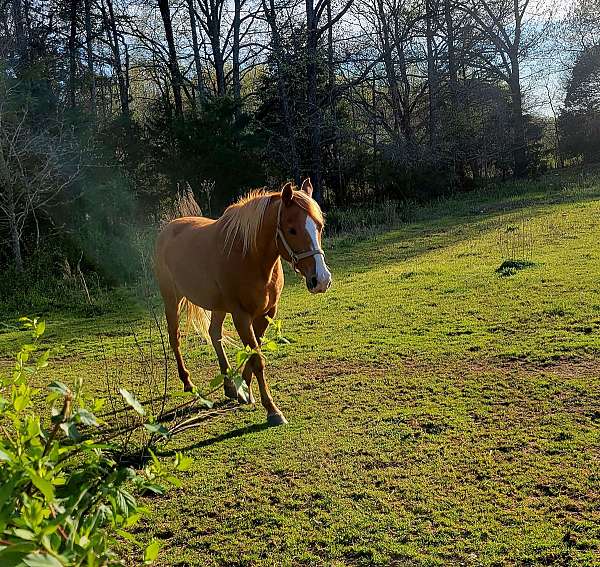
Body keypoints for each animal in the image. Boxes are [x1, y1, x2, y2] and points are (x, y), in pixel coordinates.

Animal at [155, 181, 332, 426]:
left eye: (319, 226)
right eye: (292, 230)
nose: (321, 280)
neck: (249, 256)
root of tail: (168, 230)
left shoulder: (266, 313)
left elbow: (254, 351)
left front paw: (244, 389)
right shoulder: (241, 315)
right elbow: (257, 359)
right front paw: (272, 411)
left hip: (218, 306)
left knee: (214, 334)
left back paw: (229, 385)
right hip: (172, 300)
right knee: (175, 339)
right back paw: (188, 383)